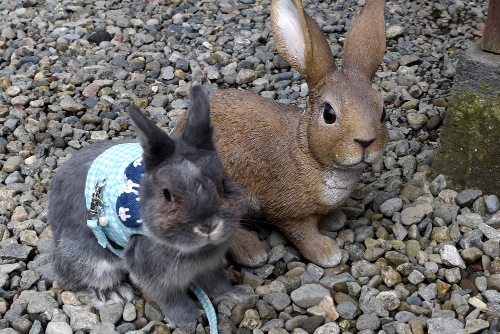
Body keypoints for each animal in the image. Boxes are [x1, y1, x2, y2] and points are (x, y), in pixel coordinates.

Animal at [48, 85, 242, 328]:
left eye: (223, 183)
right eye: (167, 194)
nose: (208, 226)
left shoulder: (210, 264)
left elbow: (216, 280)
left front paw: (232, 295)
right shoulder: (151, 269)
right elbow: (169, 296)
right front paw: (187, 320)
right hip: (87, 255)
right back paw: (115, 293)